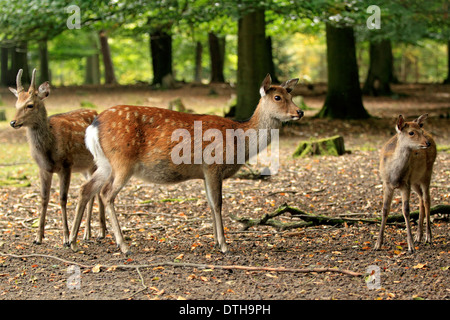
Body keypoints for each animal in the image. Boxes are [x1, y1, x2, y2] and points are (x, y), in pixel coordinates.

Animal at [9, 69, 106, 245]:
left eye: (30, 105)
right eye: (16, 104)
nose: (13, 122)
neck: (49, 148)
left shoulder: (66, 164)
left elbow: (62, 198)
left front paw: (66, 238)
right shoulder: (43, 168)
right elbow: (43, 198)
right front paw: (38, 237)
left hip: (96, 162)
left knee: (97, 190)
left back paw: (101, 232)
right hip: (85, 168)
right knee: (92, 191)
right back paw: (87, 233)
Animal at [69, 74, 302, 254]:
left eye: (291, 95)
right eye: (278, 97)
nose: (299, 112)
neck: (240, 140)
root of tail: (93, 126)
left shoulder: (205, 172)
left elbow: (210, 203)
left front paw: (216, 242)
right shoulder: (213, 164)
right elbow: (218, 203)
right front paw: (224, 245)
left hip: (104, 163)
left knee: (85, 189)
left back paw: (72, 241)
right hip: (122, 161)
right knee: (106, 193)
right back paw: (123, 246)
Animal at [374, 114, 438, 252]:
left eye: (421, 131)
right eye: (411, 132)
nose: (427, 143)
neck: (395, 175)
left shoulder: (405, 184)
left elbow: (406, 210)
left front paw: (411, 246)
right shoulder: (386, 183)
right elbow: (385, 209)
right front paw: (377, 244)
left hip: (427, 173)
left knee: (426, 199)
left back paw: (428, 236)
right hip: (415, 181)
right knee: (420, 198)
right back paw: (418, 236)